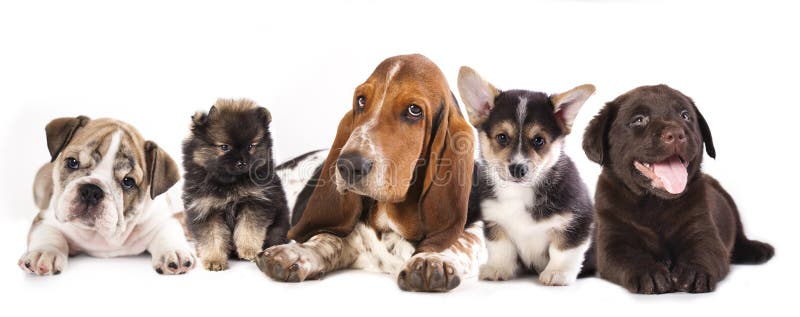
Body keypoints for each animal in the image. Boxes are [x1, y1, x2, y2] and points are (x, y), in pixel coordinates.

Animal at [18, 115, 196, 274]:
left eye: (128, 181)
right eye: (72, 162)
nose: (91, 191)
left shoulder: (162, 219)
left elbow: (168, 233)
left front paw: (174, 252)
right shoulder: (45, 219)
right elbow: (49, 235)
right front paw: (44, 253)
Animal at [183, 98, 290, 270]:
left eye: (250, 146)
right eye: (224, 147)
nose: (241, 163)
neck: (229, 184)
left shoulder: (255, 201)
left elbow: (248, 228)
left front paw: (249, 250)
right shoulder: (205, 209)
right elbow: (212, 237)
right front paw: (214, 260)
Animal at [460, 66, 596, 284]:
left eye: (539, 140)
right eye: (502, 137)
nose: (518, 168)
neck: (520, 192)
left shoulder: (578, 220)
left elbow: (563, 250)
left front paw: (557, 273)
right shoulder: (495, 222)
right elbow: (501, 248)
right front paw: (498, 268)